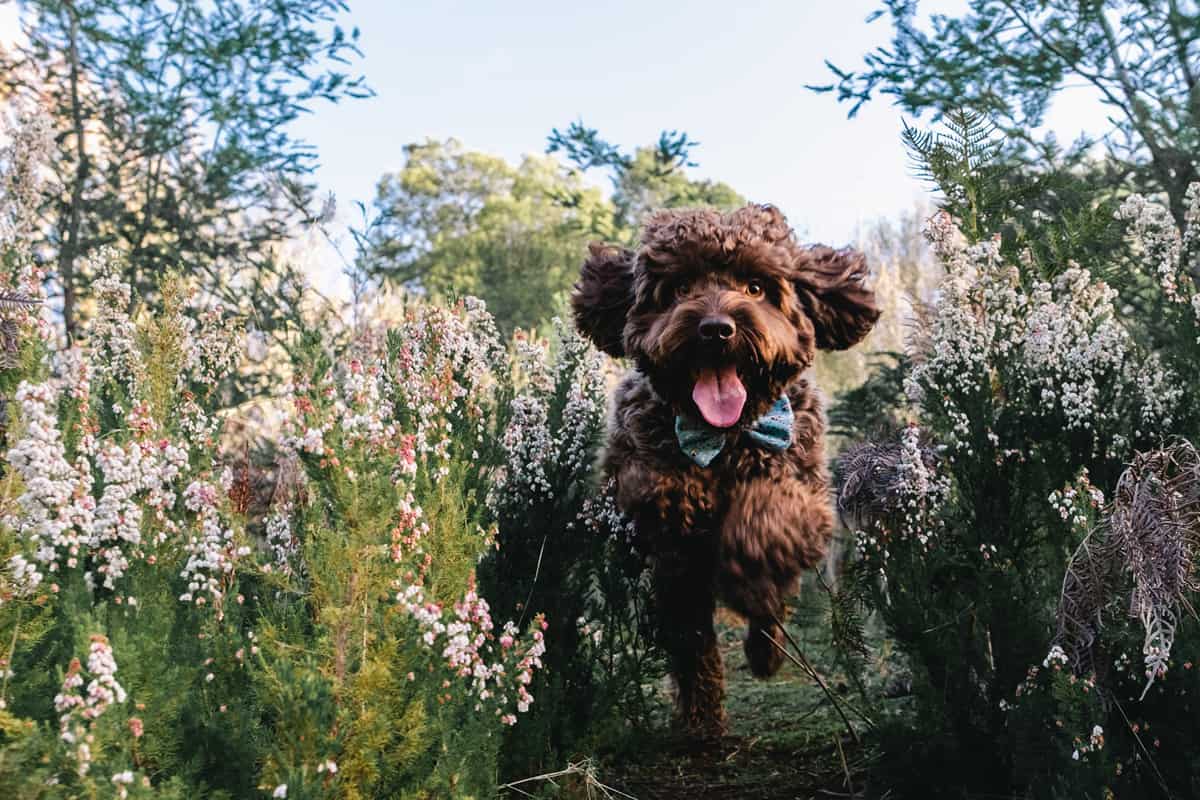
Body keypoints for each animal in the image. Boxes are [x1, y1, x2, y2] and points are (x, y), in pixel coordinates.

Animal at [566, 203, 878, 734]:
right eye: (677, 289)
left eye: (755, 286)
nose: (715, 329)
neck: (724, 438)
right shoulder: (647, 497)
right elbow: (663, 498)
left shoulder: (802, 487)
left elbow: (771, 522)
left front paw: (750, 562)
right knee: (693, 643)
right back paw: (701, 717)